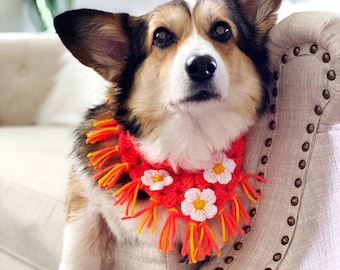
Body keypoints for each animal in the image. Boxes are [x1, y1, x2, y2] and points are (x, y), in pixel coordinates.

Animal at [53, 0, 282, 268]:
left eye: (222, 30)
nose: (202, 66)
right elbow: (80, 254)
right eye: (161, 36)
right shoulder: (84, 206)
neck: (187, 141)